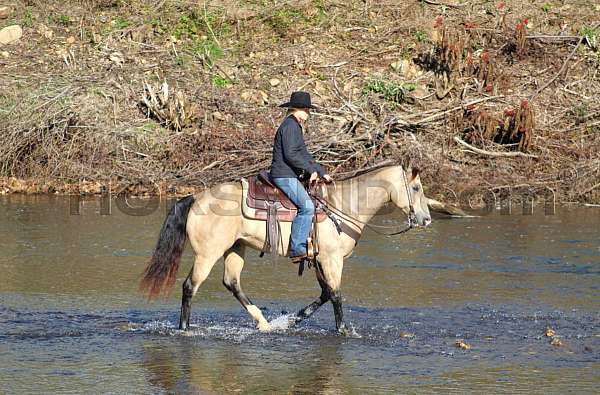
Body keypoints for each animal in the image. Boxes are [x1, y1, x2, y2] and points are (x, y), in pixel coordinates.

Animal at [141, 166, 432, 336]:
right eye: (416, 188)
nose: (426, 219)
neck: (343, 206)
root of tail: (196, 197)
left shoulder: (318, 260)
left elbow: (325, 294)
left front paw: (291, 321)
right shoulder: (332, 260)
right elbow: (336, 295)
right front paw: (343, 331)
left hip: (236, 249)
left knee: (232, 282)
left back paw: (264, 323)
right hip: (208, 254)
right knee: (190, 286)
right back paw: (184, 329)